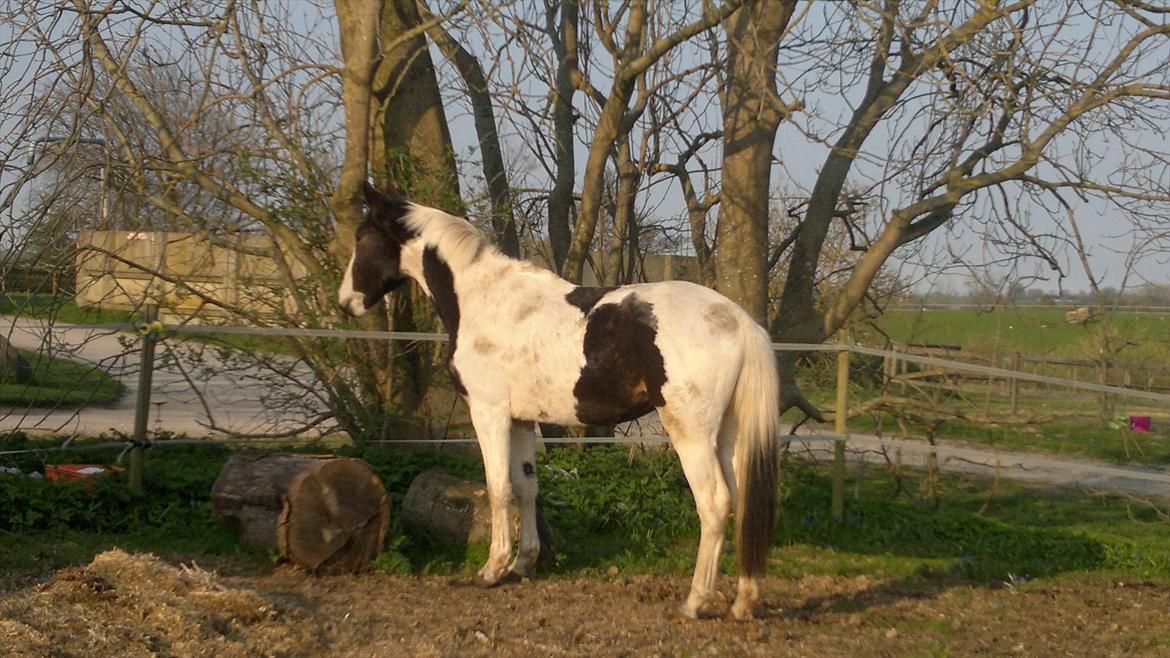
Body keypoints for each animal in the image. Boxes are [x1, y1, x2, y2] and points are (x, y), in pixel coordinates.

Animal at [336, 181, 776, 618]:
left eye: (363, 237)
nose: (345, 302)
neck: (485, 300)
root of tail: (739, 320)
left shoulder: (488, 413)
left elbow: (498, 488)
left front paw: (492, 570)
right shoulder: (520, 420)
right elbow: (525, 487)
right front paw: (523, 564)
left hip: (692, 434)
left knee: (715, 504)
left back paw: (695, 601)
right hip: (728, 434)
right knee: (742, 503)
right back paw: (743, 602)